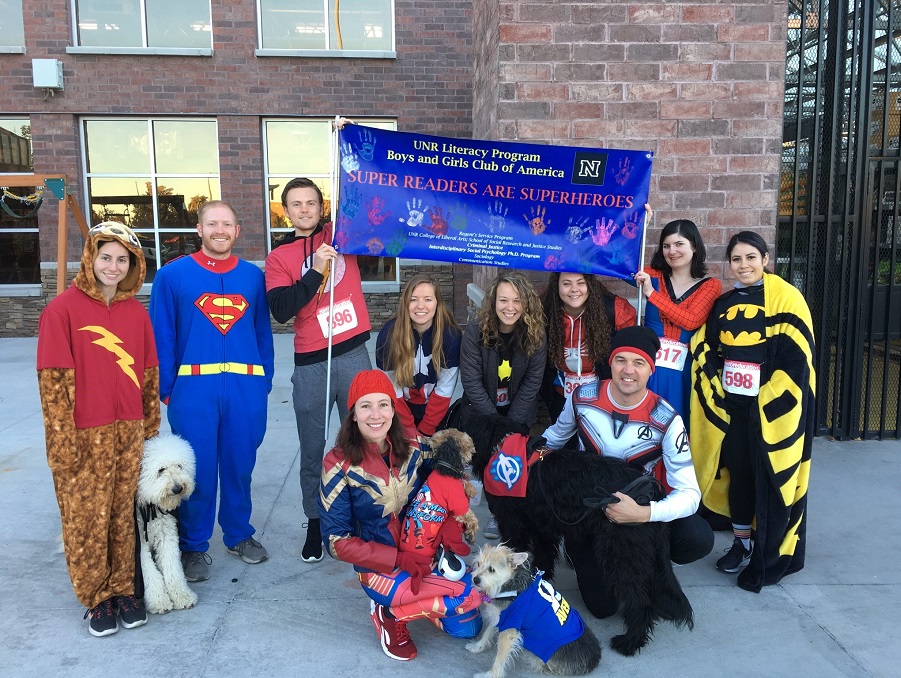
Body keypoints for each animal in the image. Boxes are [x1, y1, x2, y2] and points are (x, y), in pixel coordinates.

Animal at [137, 436, 197, 616]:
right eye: (161, 469)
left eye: (179, 466)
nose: (178, 488)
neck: (149, 506)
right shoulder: (138, 543)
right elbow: (149, 572)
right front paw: (158, 601)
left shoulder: (166, 535)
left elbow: (173, 567)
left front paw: (182, 596)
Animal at [448, 412, 688, 656]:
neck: (502, 444)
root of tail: (651, 493)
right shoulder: (543, 529)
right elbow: (543, 561)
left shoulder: (514, 526)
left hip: (622, 554)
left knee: (639, 599)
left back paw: (631, 641)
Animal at [468, 548, 600, 678]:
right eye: (478, 563)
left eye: (492, 569)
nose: (475, 579)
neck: (511, 584)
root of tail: (595, 659)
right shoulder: (500, 617)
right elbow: (487, 633)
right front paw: (478, 646)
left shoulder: (509, 627)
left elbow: (500, 659)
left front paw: (490, 674)